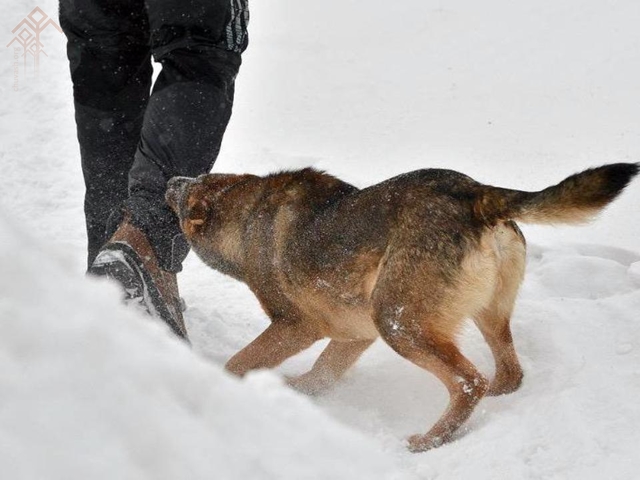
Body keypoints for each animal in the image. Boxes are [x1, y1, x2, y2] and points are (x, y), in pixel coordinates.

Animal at [166, 163, 640, 452]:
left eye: (185, 195)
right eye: (196, 177)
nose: (170, 180)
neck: (246, 217)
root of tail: (475, 193)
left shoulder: (297, 325)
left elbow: (238, 362)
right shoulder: (354, 335)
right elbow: (320, 375)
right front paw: (292, 394)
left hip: (398, 323)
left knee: (469, 382)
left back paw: (430, 441)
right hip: (481, 316)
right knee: (506, 374)